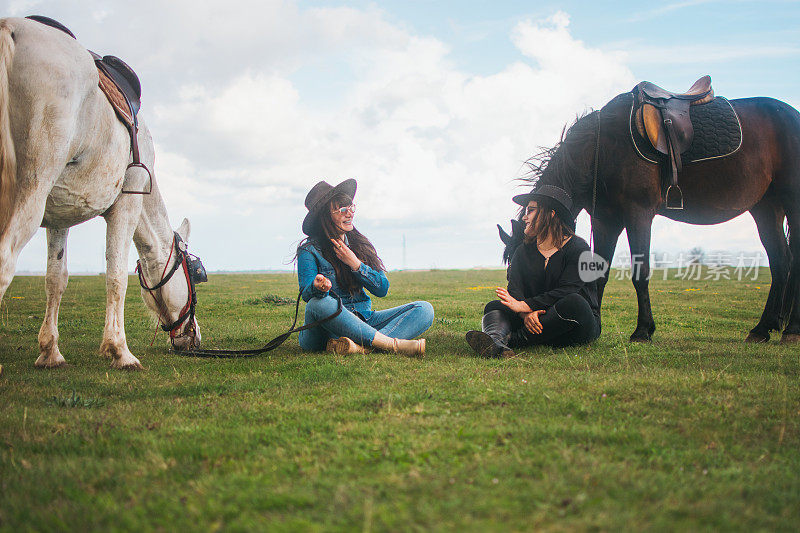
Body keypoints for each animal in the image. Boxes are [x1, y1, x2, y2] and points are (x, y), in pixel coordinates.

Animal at [0, 15, 203, 366]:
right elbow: (116, 275)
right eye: (193, 269)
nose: (194, 336)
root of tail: (11, 31)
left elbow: (56, 278)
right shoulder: (128, 204)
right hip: (29, 192)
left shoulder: (58, 215)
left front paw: (50, 351)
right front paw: (119, 350)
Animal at [516, 87, 800, 340]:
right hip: (766, 208)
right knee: (781, 262)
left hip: (791, 201)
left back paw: (791, 330)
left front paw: (643, 330)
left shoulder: (638, 214)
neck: (602, 147)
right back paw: (763, 328)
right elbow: (598, 273)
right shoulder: (605, 220)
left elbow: (640, 272)